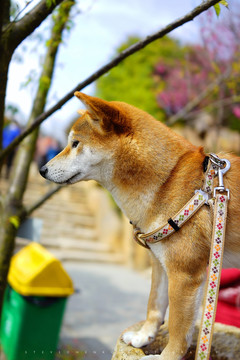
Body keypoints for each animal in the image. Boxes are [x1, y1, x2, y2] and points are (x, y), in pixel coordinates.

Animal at [39, 93, 240, 360]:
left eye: (75, 143)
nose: (42, 169)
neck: (167, 181)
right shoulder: (161, 262)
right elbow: (154, 305)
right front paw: (144, 337)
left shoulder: (185, 274)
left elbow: (178, 330)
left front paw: (165, 357)